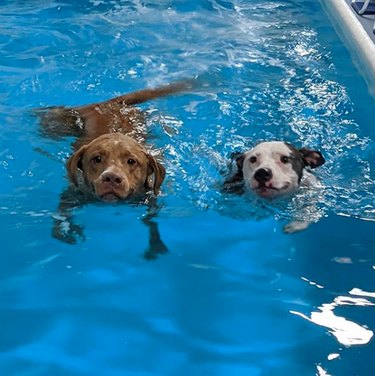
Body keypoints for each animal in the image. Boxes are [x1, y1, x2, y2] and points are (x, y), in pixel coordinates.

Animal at [38, 81, 192, 258]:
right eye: (96, 159)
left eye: (131, 161)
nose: (111, 178)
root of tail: (109, 103)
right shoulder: (74, 193)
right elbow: (60, 216)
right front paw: (66, 230)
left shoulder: (148, 199)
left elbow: (151, 220)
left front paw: (155, 244)